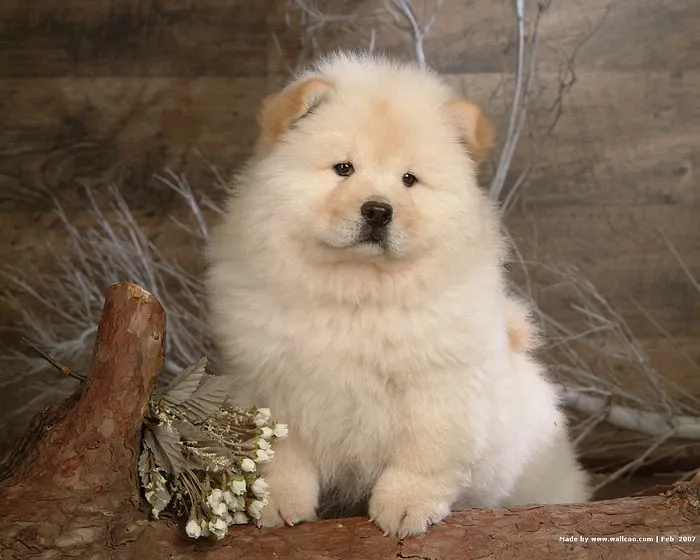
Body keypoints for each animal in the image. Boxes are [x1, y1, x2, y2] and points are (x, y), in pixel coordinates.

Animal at [208, 52, 592, 540]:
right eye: (344, 168)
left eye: (409, 180)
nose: (377, 210)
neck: (358, 291)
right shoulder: (269, 379)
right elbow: (280, 454)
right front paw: (276, 505)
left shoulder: (438, 385)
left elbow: (422, 454)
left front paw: (406, 508)